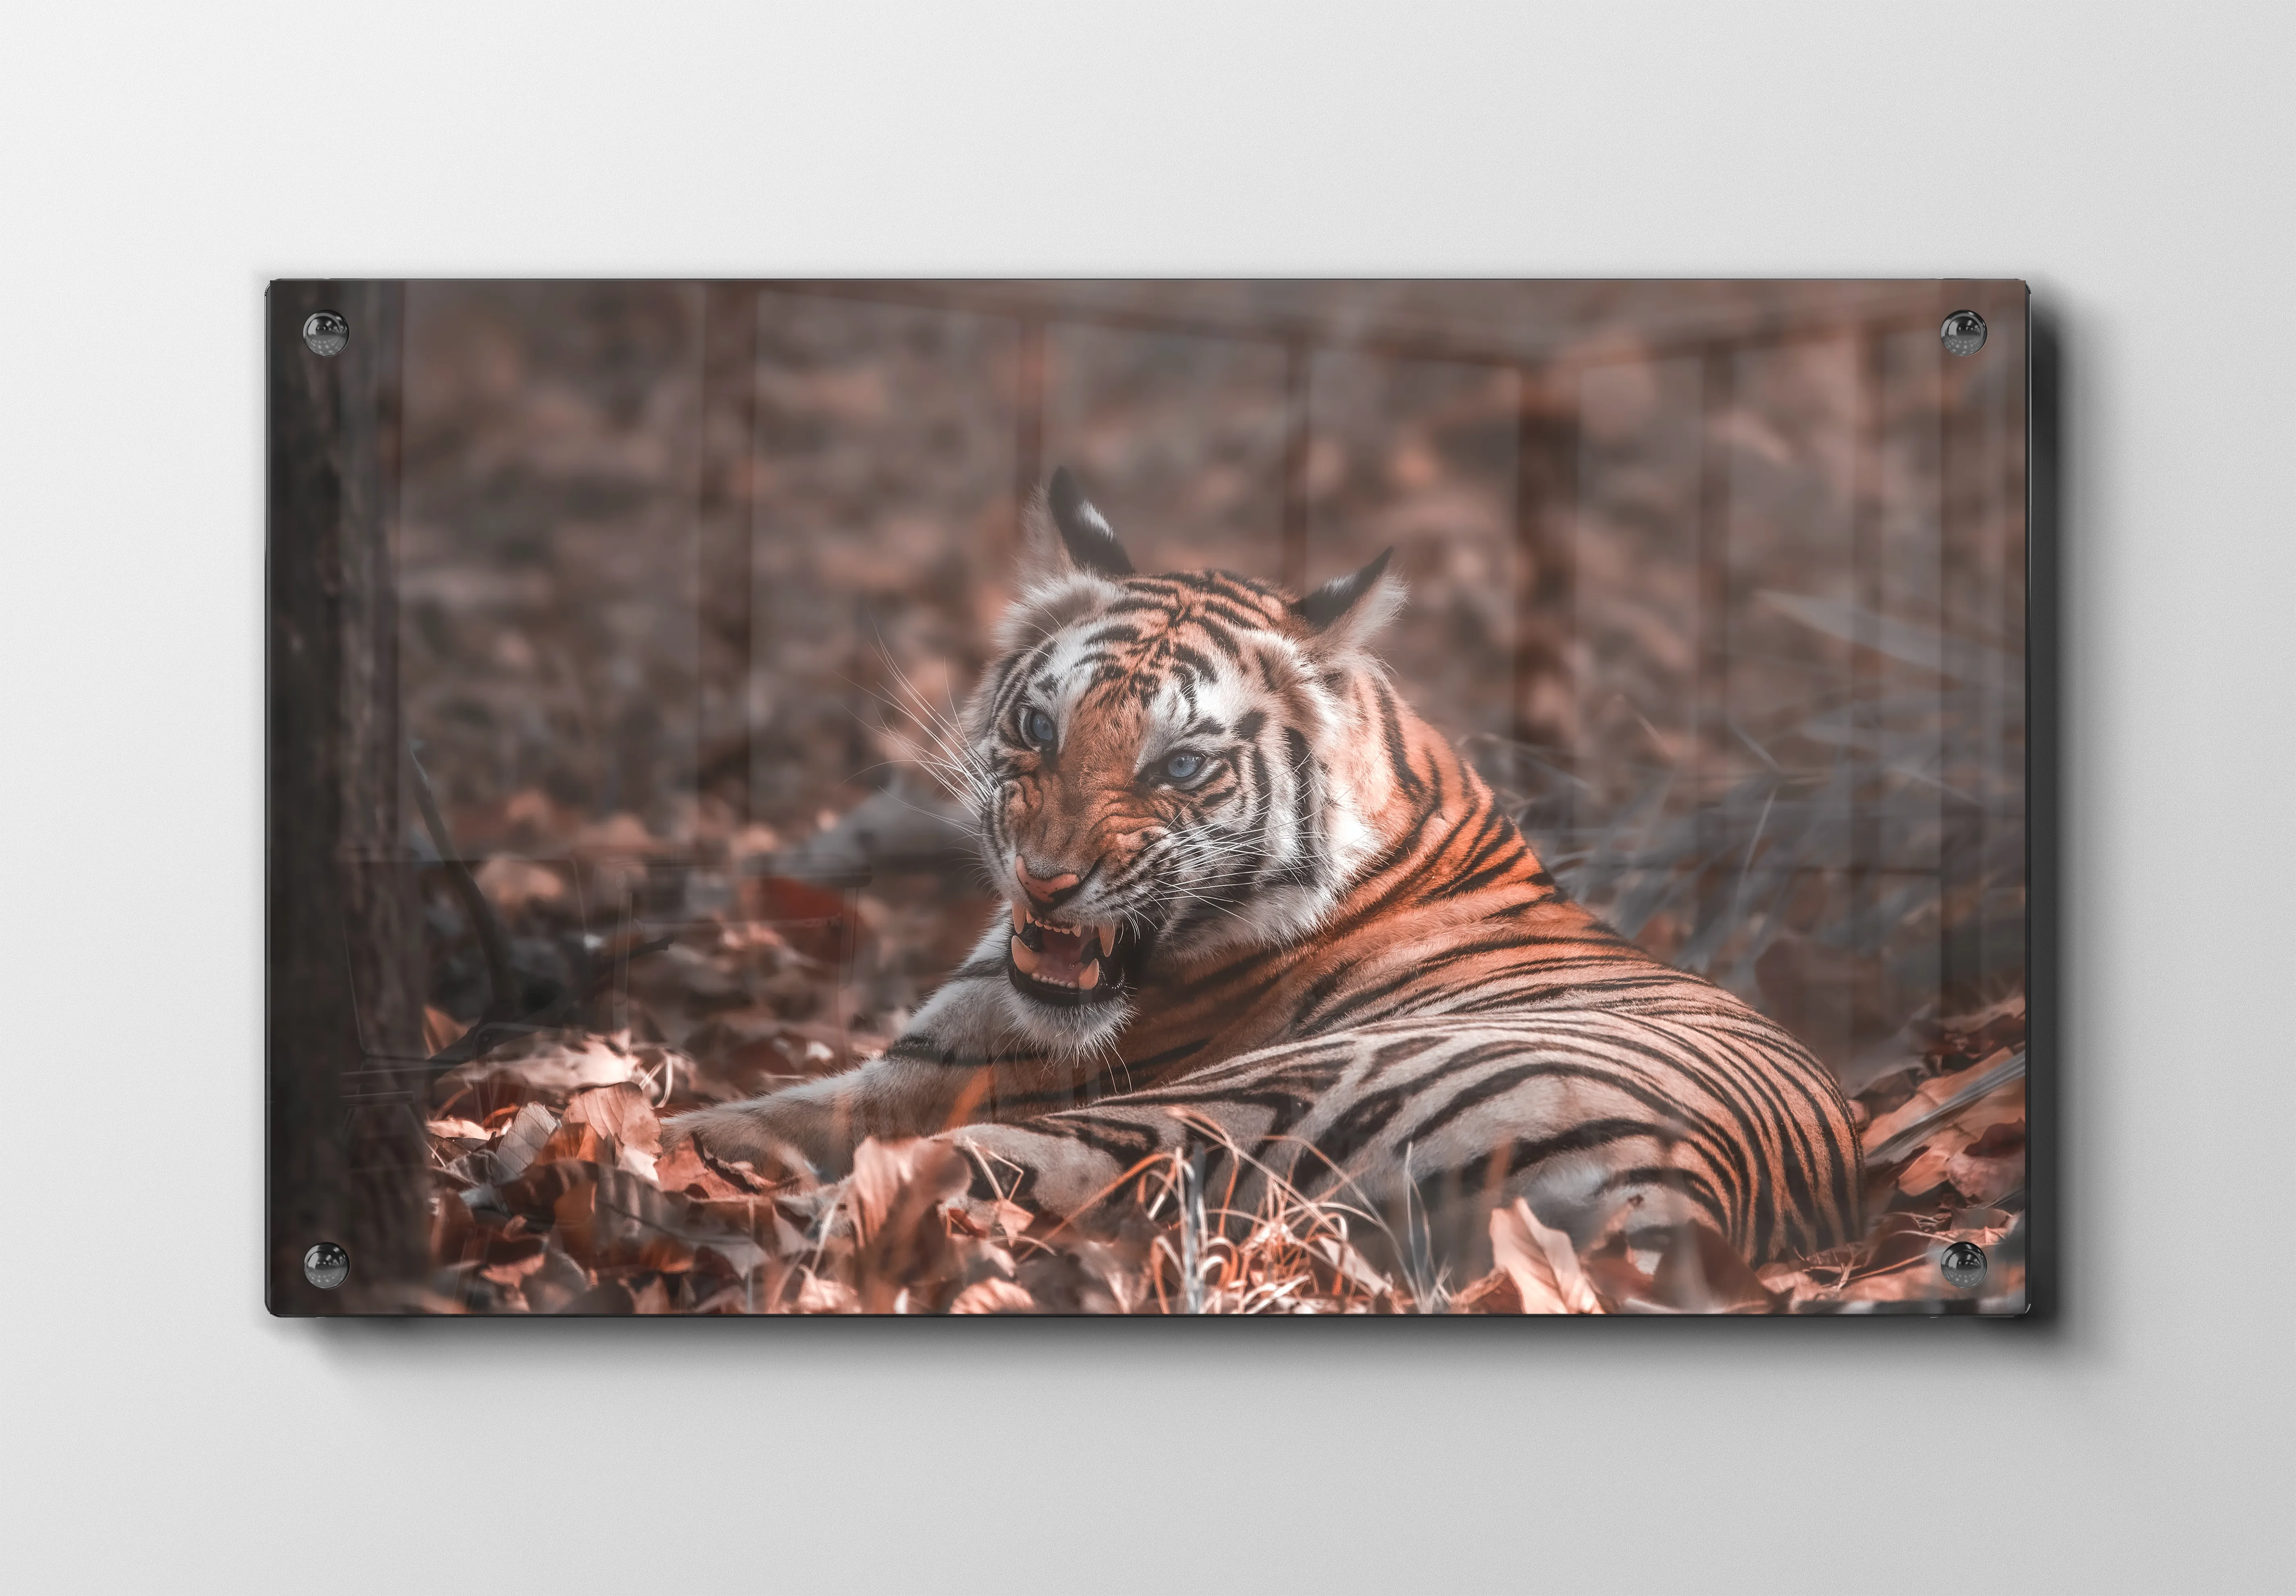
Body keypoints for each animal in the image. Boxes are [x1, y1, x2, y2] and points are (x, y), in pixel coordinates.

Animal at [665, 468, 1862, 1277]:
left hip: (1218, 1106)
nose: (1044, 882)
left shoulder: (960, 1075)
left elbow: (739, 1121)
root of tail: (1682, 1195)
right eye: (1040, 727)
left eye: (1182, 766)